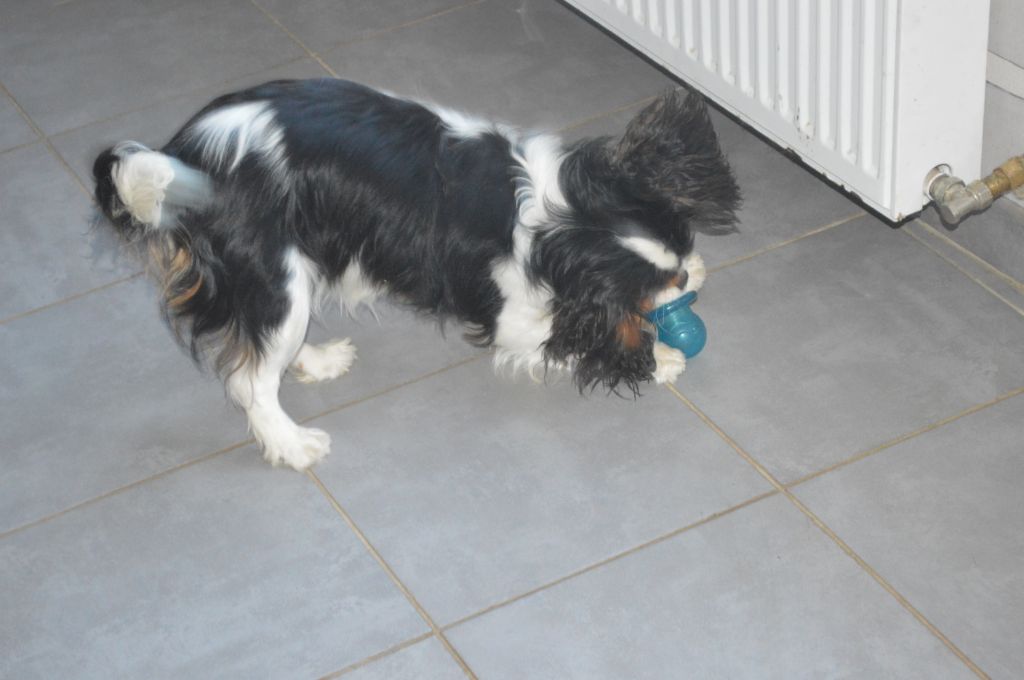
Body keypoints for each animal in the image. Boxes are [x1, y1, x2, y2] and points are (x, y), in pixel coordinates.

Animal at [92, 79, 741, 471]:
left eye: (683, 246)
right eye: (652, 286)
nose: (687, 280)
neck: (559, 217)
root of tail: (184, 155)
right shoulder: (508, 310)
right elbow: (564, 335)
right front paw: (660, 356)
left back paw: (316, 360)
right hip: (273, 272)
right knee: (252, 377)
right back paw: (292, 443)